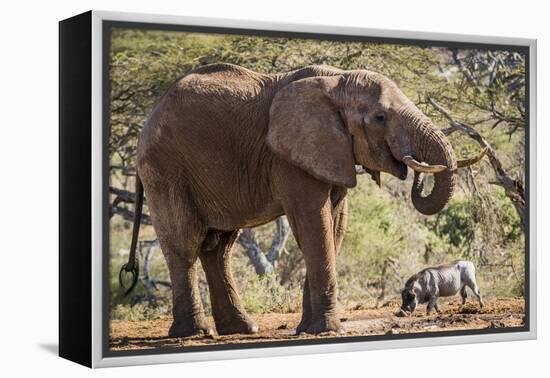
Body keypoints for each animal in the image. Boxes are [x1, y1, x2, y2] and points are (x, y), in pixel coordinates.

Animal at [122, 62, 488, 336]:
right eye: (380, 117)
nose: (412, 167)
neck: (336, 80)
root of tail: (148, 119)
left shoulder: (332, 151)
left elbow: (334, 227)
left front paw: (307, 329)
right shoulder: (288, 157)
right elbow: (314, 222)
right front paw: (328, 330)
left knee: (218, 247)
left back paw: (243, 329)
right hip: (165, 167)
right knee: (185, 244)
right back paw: (196, 333)